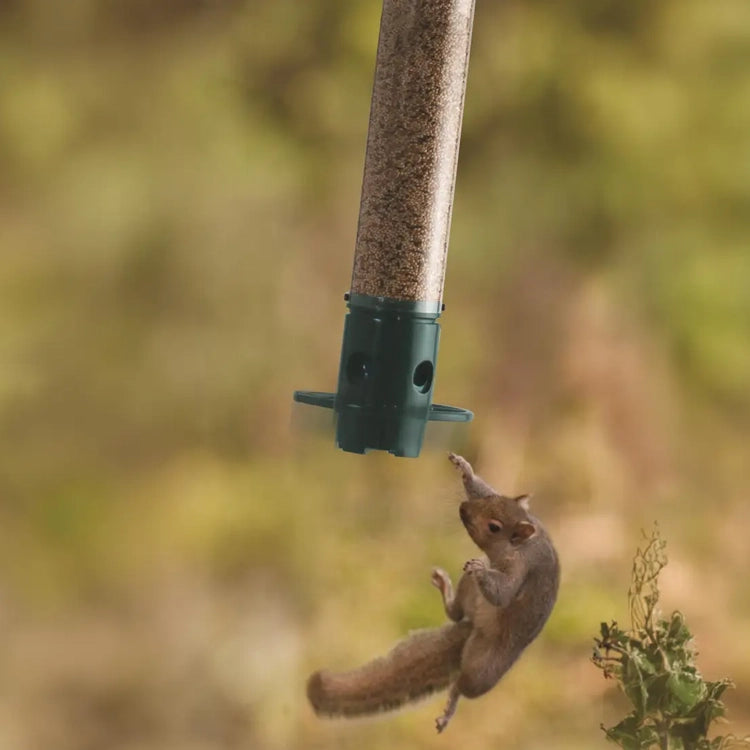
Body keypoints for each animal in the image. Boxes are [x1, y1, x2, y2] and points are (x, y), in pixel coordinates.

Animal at [307, 452, 560, 733]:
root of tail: (475, 628)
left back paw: (449, 708)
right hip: (469, 590)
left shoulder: (522, 568)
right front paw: (466, 471)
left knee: (463, 685)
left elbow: (503, 594)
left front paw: (481, 568)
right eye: (491, 498)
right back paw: (446, 591)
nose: (463, 508)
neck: (523, 544)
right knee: (456, 614)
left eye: (494, 526)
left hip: (484, 668)